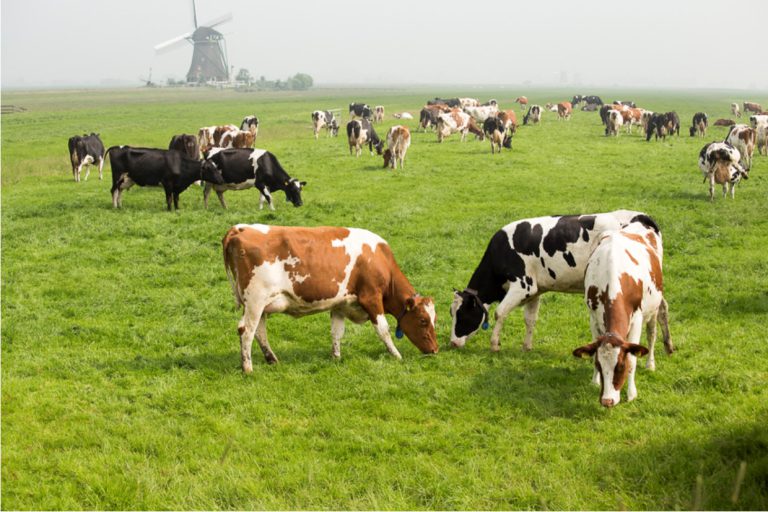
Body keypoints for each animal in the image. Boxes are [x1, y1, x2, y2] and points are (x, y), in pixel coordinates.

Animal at [222, 224, 438, 371]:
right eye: (423, 320)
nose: (435, 350)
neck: (380, 260)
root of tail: (239, 228)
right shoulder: (371, 298)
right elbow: (383, 330)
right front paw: (396, 355)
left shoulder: (340, 304)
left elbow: (336, 332)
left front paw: (336, 357)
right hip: (255, 301)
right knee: (246, 331)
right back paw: (248, 368)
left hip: (260, 305)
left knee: (259, 332)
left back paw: (272, 359)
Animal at [449, 210, 660, 351]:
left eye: (463, 314)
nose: (452, 342)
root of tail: (640, 216)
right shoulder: (535, 291)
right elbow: (530, 319)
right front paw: (526, 346)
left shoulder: (523, 285)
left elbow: (499, 313)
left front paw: (494, 345)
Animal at [572, 222, 672, 408]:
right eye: (599, 365)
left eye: (620, 366)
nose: (607, 401)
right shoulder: (593, 318)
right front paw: (595, 381)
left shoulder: (637, 319)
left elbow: (633, 357)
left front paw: (632, 393)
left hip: (653, 308)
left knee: (652, 334)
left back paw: (650, 364)